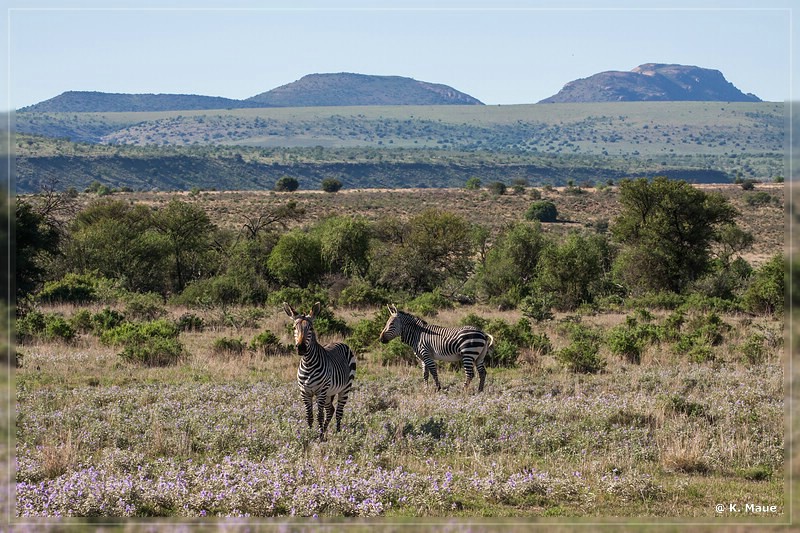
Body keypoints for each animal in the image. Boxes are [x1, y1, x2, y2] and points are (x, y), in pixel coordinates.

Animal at [282, 302, 354, 438]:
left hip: (344, 388)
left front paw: (319, 437)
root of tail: (340, 342)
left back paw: (338, 433)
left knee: (339, 411)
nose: (301, 348)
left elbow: (319, 415)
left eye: (311, 328)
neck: (308, 364)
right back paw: (325, 431)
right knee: (331, 410)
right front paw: (310, 434)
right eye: (294, 328)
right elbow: (309, 415)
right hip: (329, 392)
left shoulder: (321, 391)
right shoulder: (304, 392)